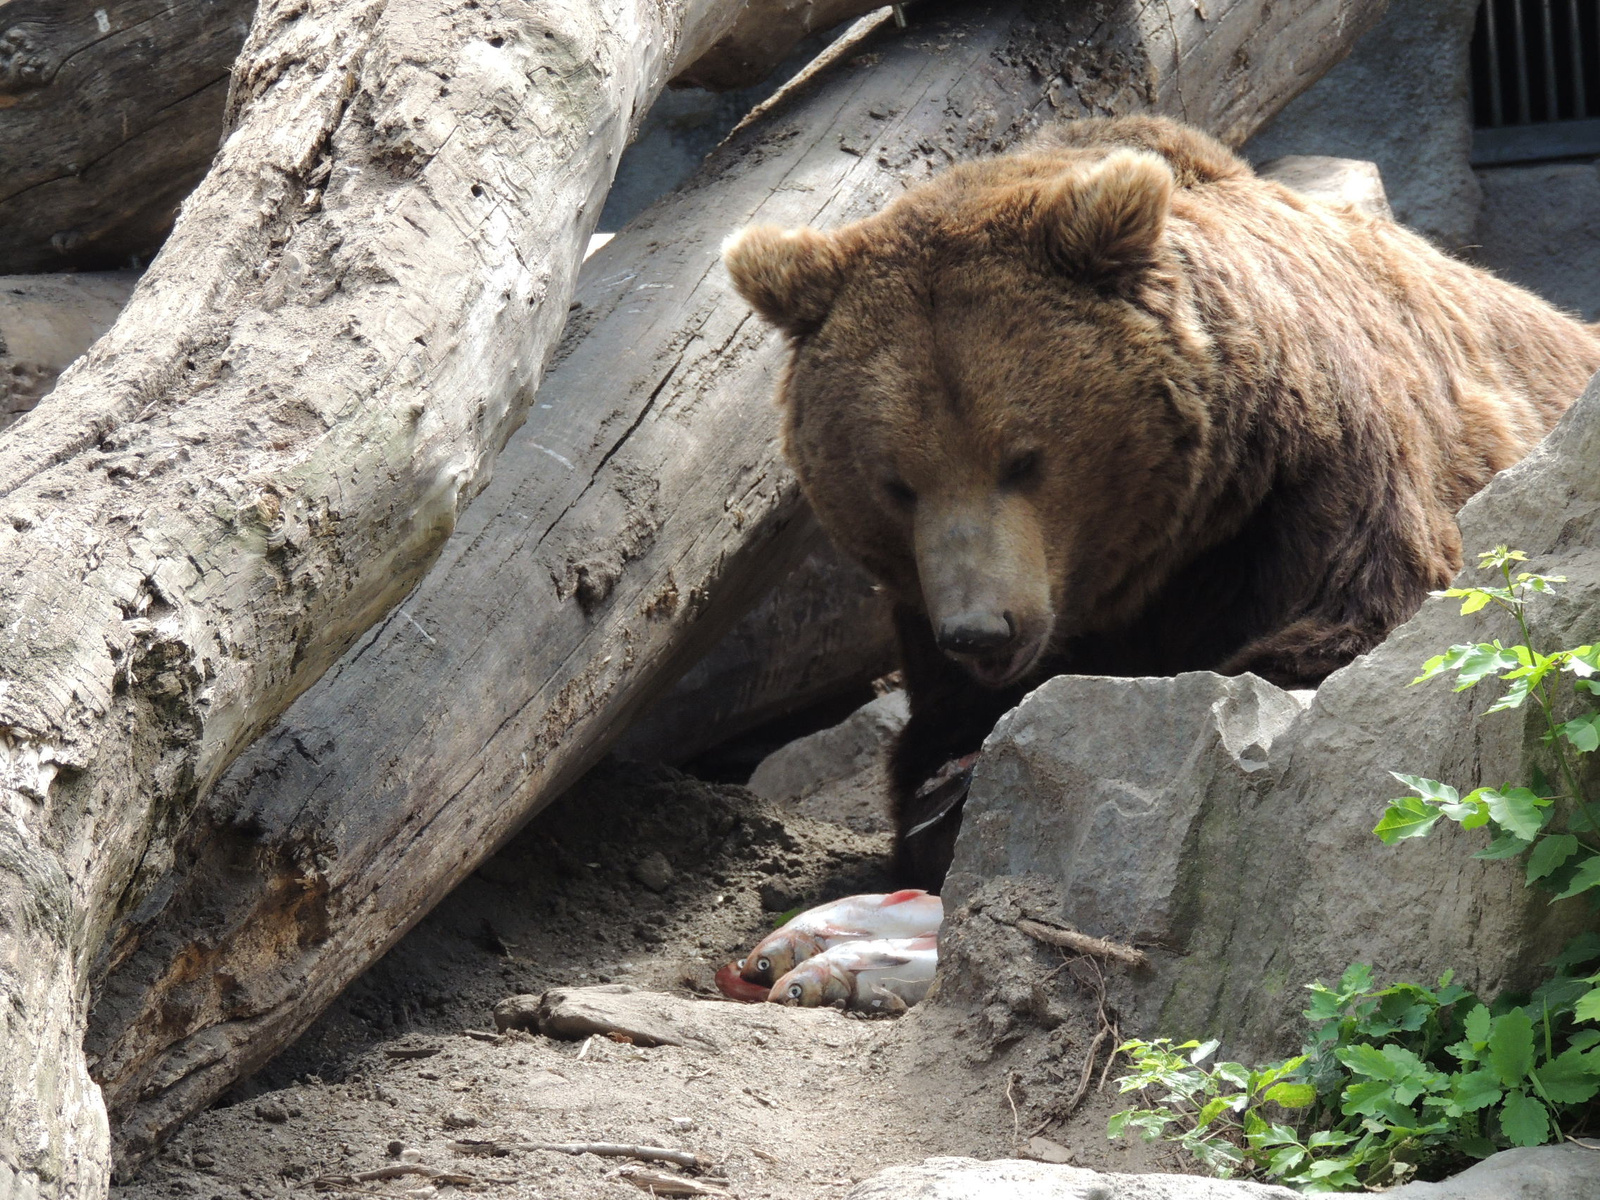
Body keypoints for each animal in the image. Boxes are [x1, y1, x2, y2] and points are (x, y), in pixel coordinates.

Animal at [723, 115, 1600, 896]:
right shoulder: (924, 608)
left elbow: (1335, 634)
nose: (981, 630)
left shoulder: (1318, 480)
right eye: (896, 482)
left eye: (1023, 459)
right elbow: (932, 738)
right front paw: (947, 790)